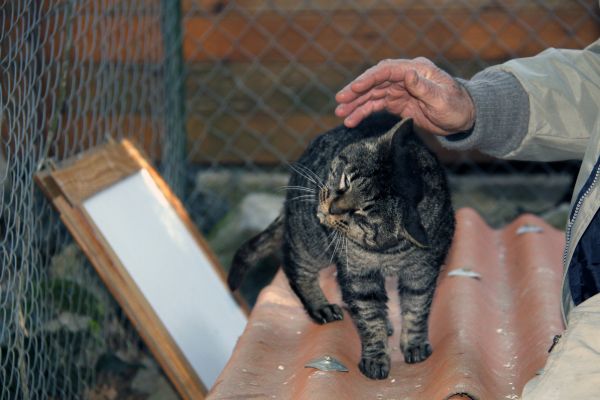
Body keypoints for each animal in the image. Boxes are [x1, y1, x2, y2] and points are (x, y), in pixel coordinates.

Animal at [227, 114, 452, 380]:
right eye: (346, 181)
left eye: (362, 214)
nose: (332, 208)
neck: (386, 253)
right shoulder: (358, 274)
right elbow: (369, 318)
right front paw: (375, 357)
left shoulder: (423, 271)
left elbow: (417, 308)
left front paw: (414, 344)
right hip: (313, 241)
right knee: (294, 265)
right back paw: (321, 307)